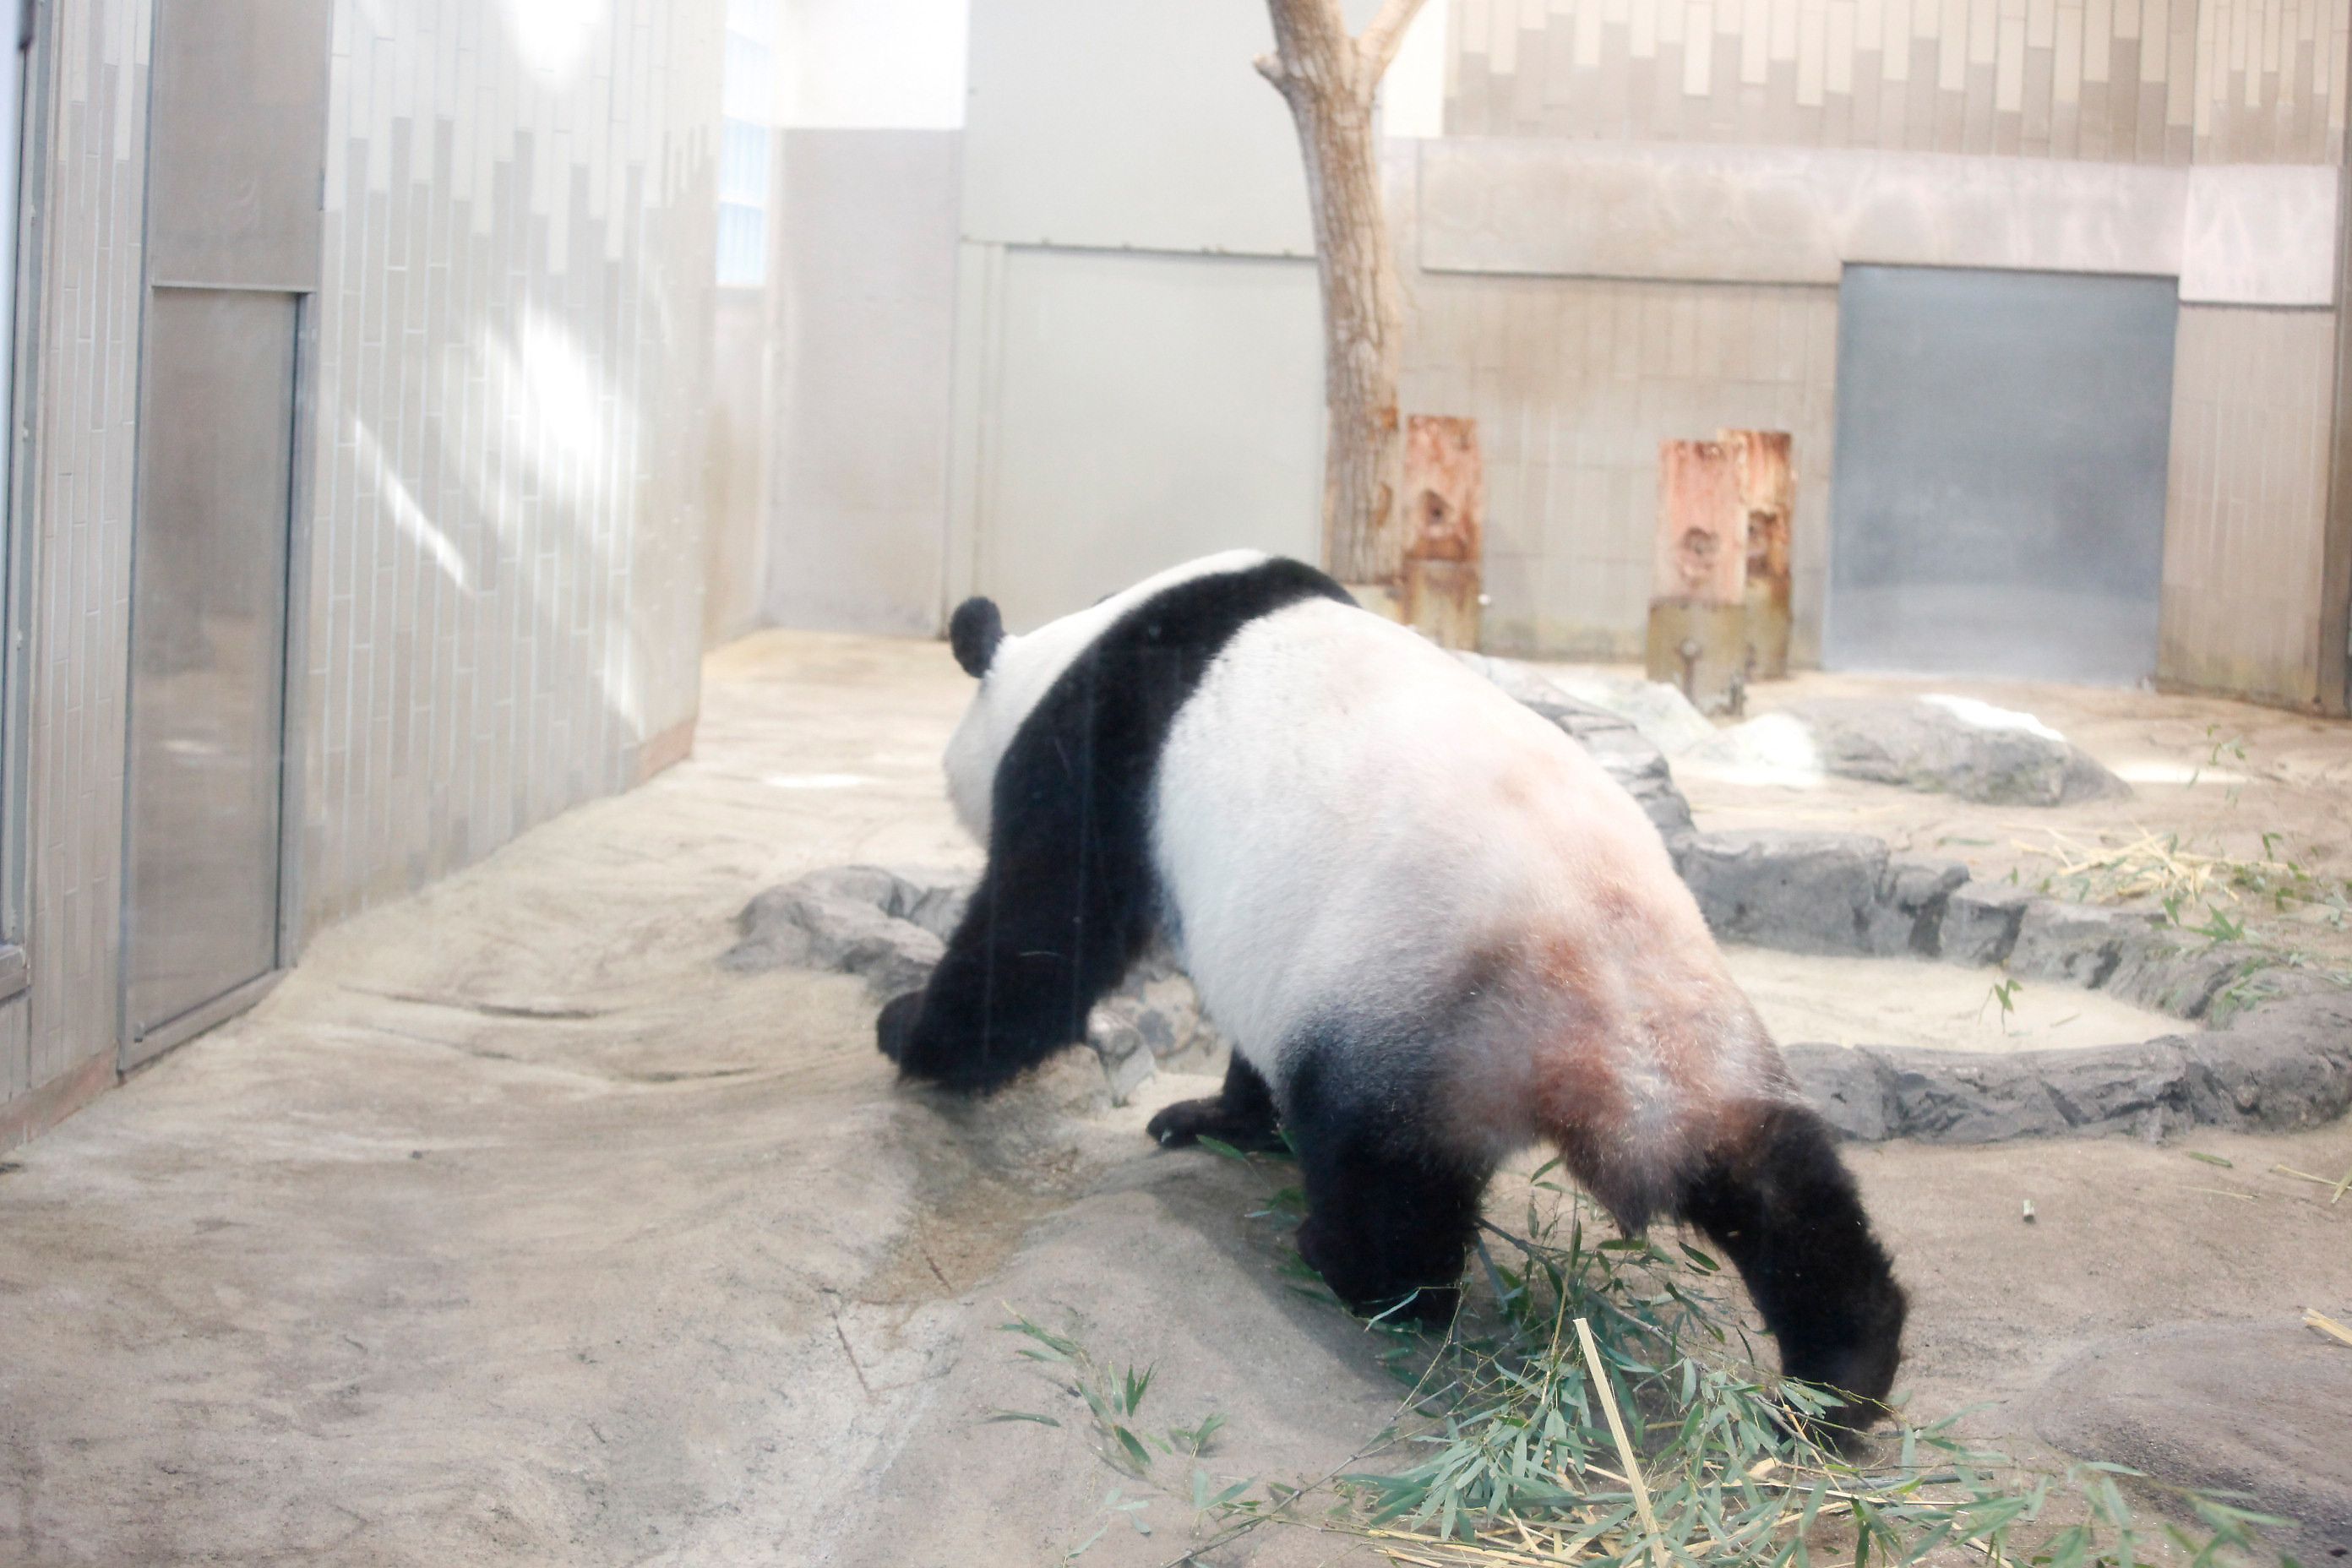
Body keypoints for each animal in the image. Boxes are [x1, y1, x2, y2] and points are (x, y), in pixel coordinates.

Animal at [877, 550, 1907, 1433]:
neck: (1067, 644)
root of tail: (1594, 1004)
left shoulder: (1102, 744)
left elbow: (1043, 935)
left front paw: (906, 1030)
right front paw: (1215, 1115)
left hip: (1414, 1007)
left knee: (1385, 1178)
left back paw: (1347, 1267)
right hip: (1701, 1027)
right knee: (1785, 1189)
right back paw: (1841, 1379)